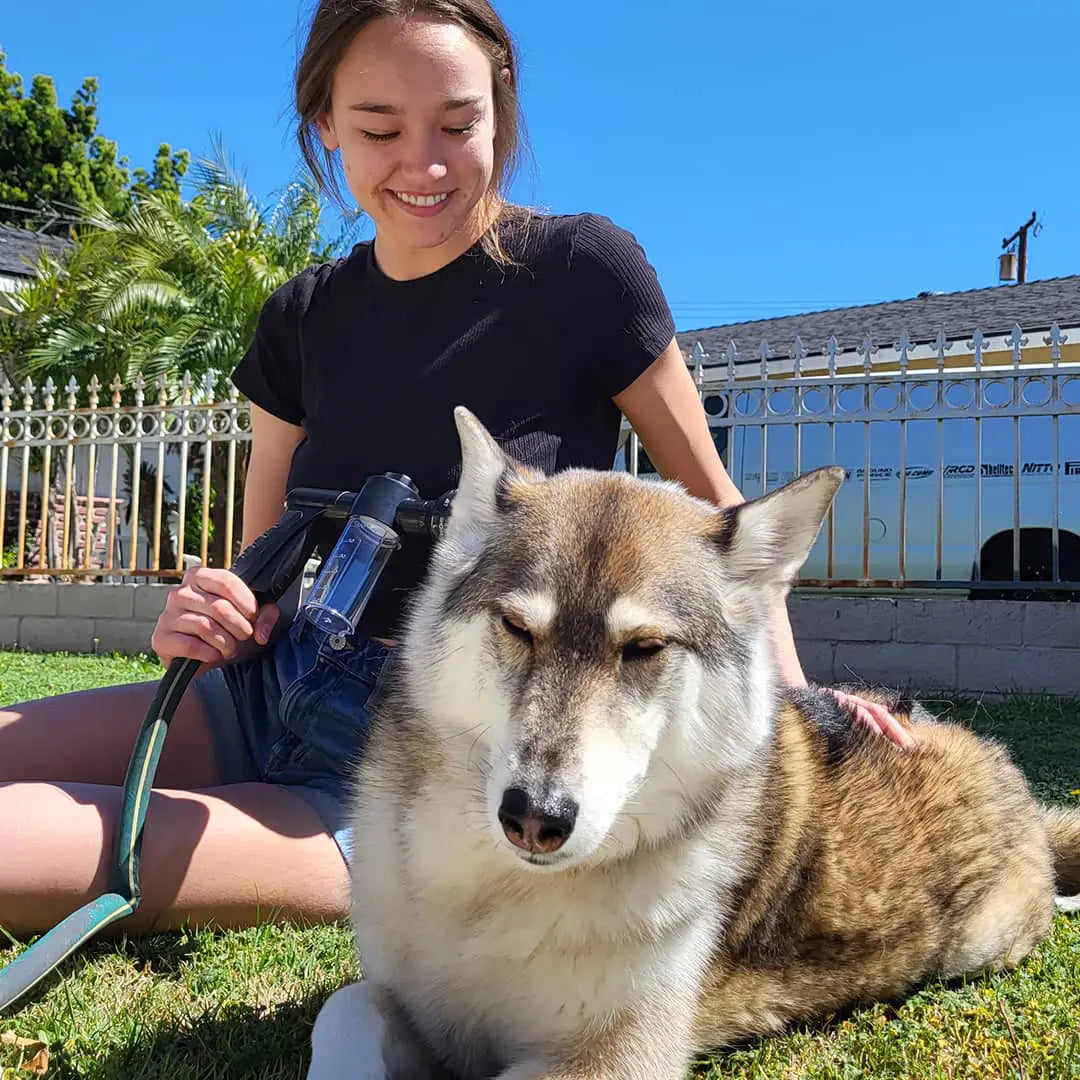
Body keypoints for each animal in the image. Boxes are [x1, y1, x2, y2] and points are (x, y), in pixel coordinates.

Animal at [306, 406, 1080, 1080]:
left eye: (645, 647)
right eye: (519, 628)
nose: (534, 817)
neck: (496, 896)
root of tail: (999, 762)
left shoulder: (613, 1058)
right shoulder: (406, 1000)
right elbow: (345, 1009)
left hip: (985, 943)